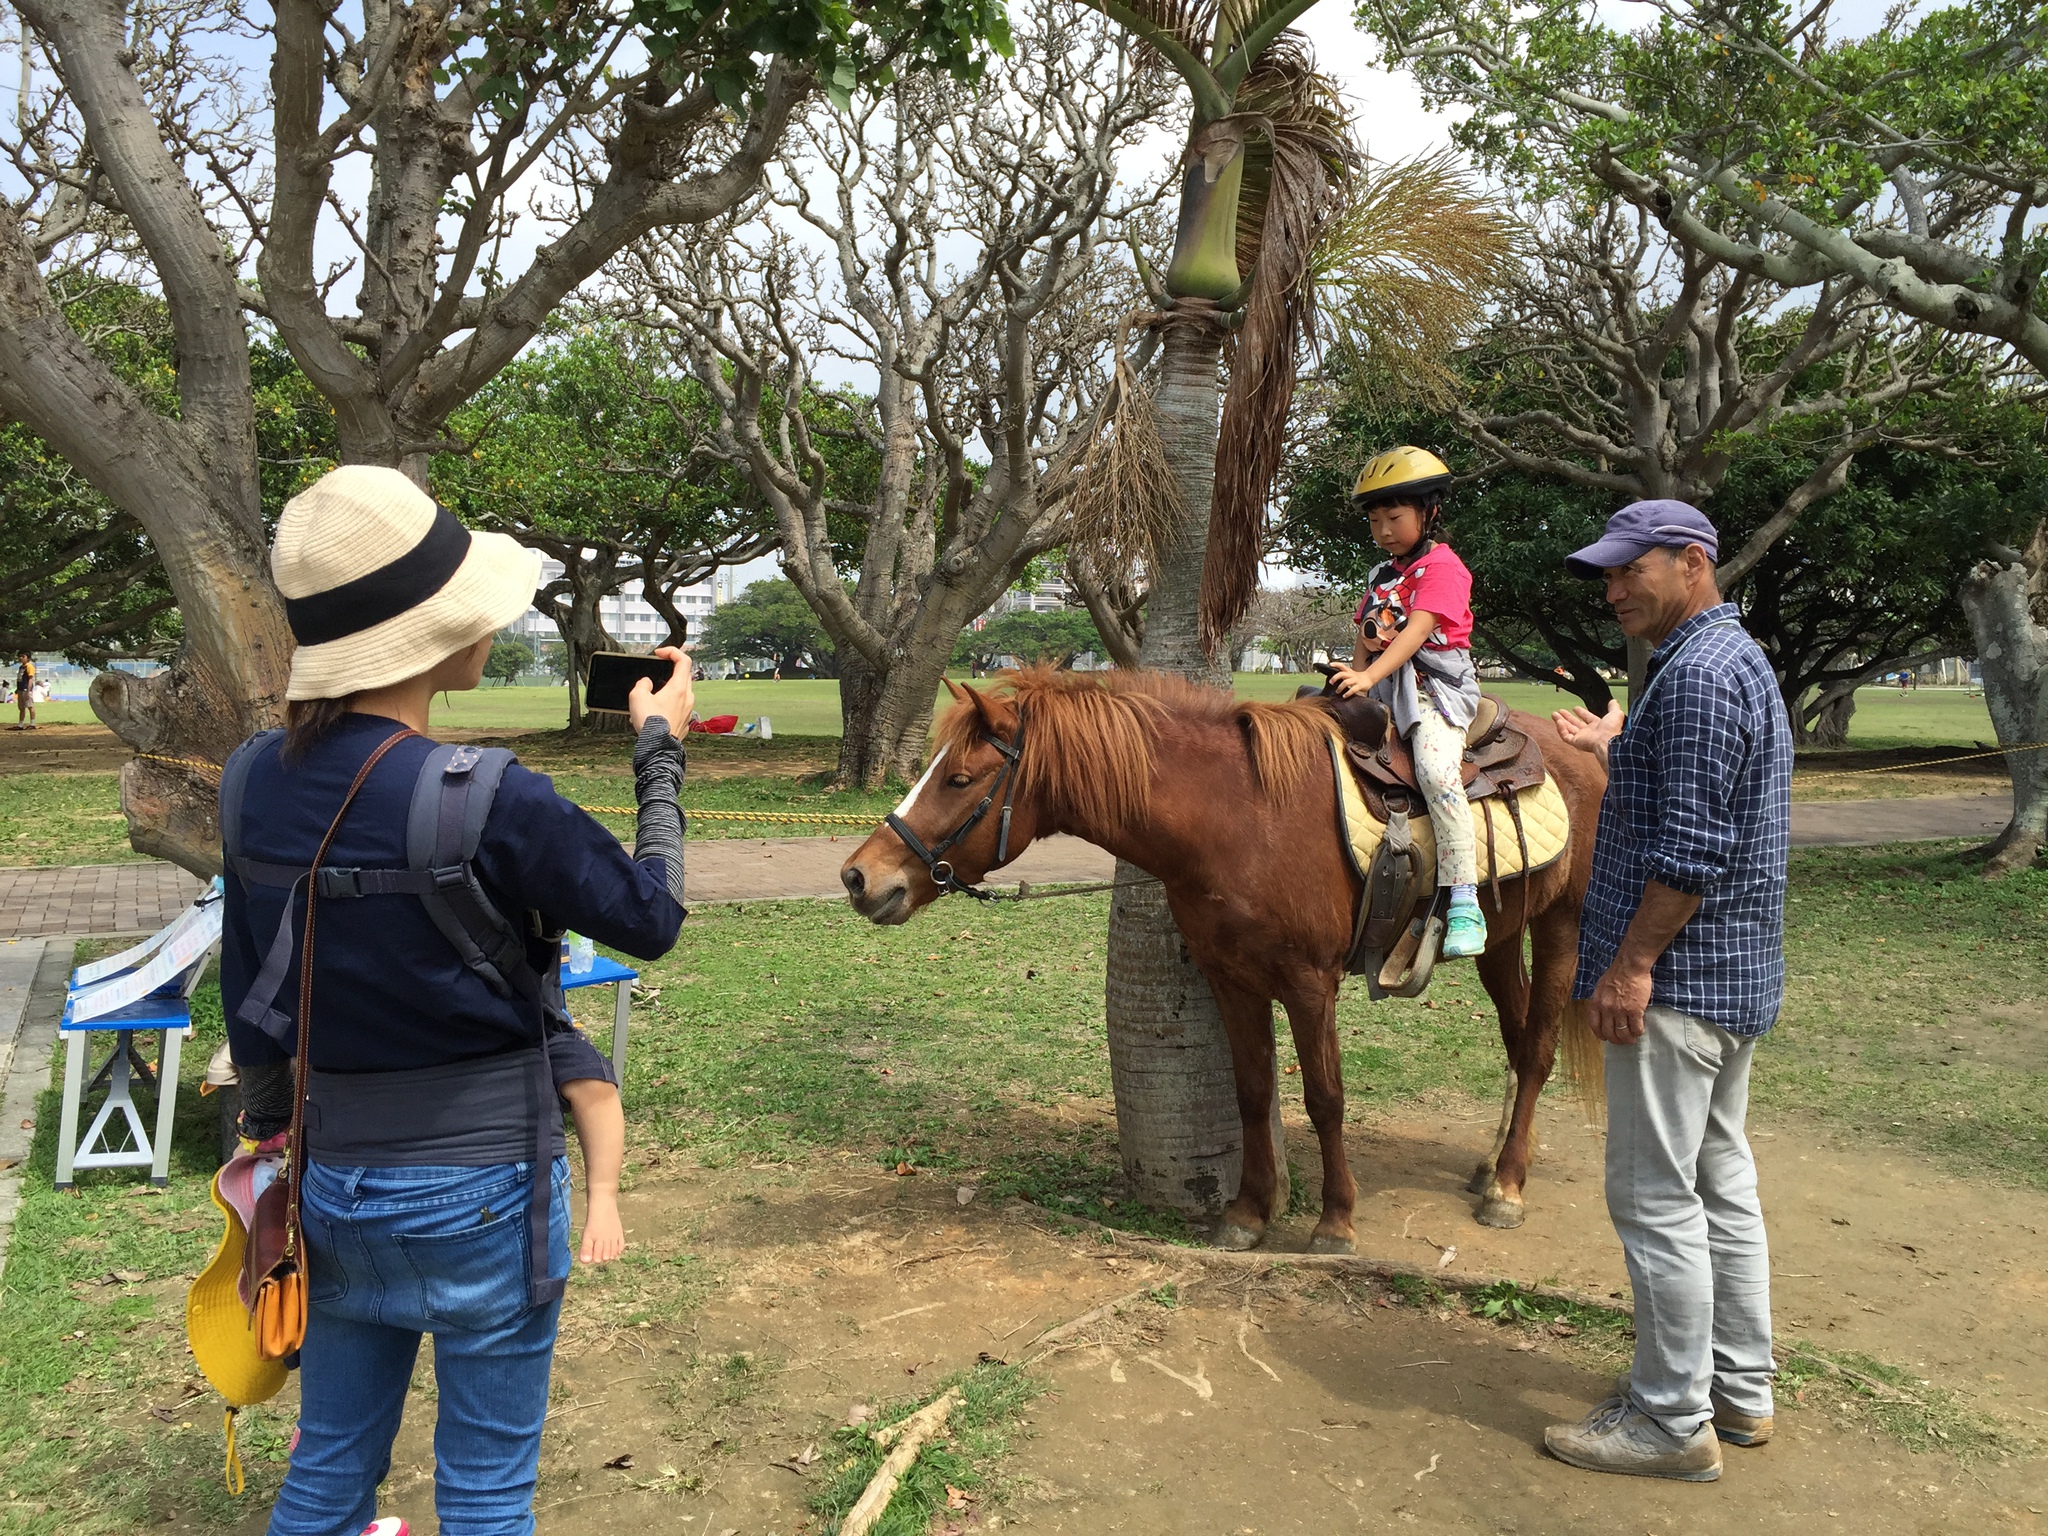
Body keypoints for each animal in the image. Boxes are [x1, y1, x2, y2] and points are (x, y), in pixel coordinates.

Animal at [839, 667, 1605, 1253]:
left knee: (1538, 1048)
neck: (1240, 817)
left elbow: (1324, 1098)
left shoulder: (1309, 984)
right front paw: (1246, 1214)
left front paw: (1335, 1221)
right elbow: (1252, 1092)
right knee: (1515, 1037)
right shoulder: (1231, 980)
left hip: (1563, 925)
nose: (858, 877)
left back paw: (1507, 1187)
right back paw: (1493, 1164)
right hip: (1503, 936)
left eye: (960, 779)